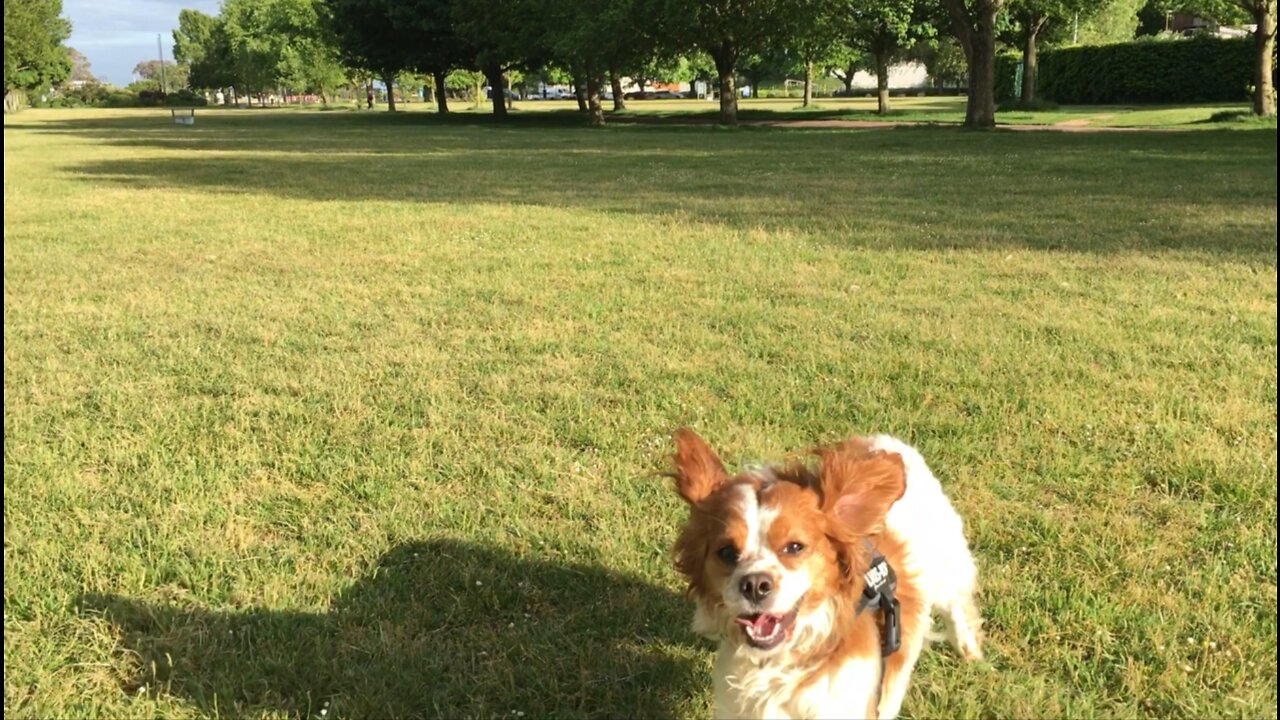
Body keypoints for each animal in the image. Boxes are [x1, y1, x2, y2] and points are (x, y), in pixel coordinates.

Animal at [670, 427, 977, 712]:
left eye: (794, 547)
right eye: (726, 552)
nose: (754, 584)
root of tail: (881, 440)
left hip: (947, 565)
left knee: (956, 604)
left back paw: (967, 646)